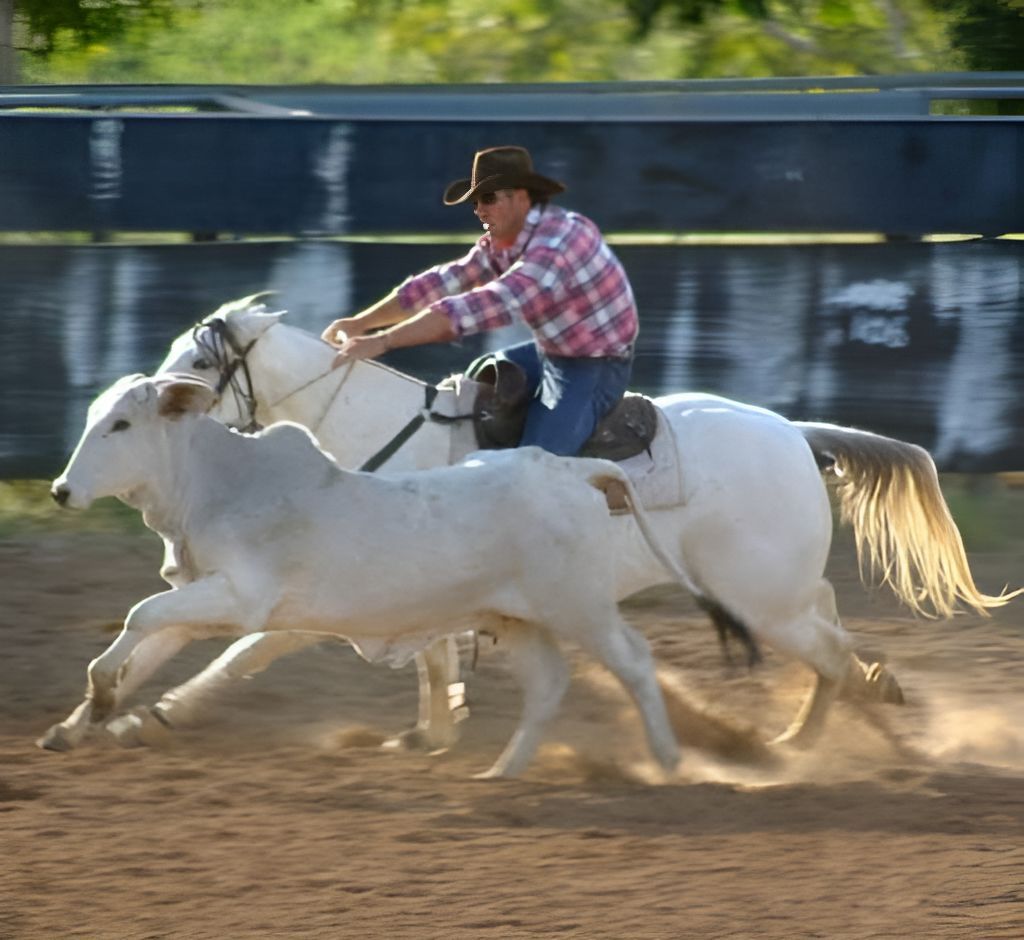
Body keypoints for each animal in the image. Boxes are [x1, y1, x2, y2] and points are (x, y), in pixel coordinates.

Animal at [156, 295, 1019, 750]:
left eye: (198, 363)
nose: (153, 401)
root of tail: (793, 433)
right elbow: (432, 660)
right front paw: (432, 730)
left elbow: (251, 648)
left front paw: (164, 708)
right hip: (777, 590)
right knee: (832, 630)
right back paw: (860, 703)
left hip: (761, 598)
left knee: (829, 650)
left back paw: (812, 742)